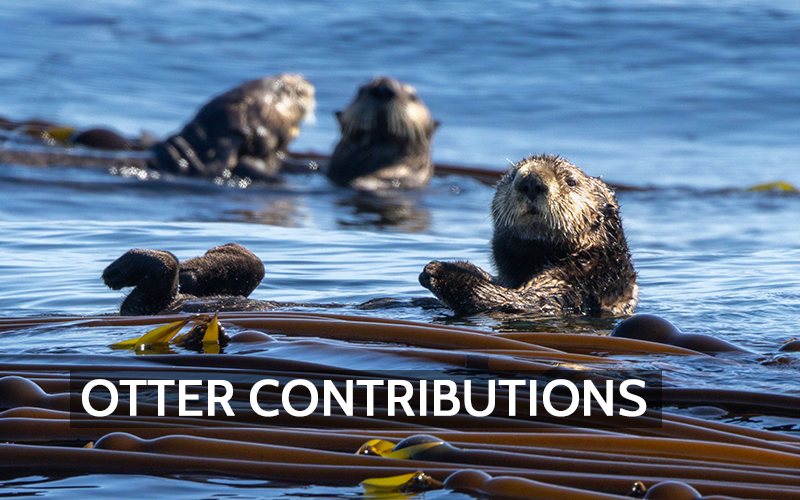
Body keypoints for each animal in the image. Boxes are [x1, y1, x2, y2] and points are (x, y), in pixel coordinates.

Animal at [419, 154, 638, 316]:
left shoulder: (575, 285)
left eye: (571, 181)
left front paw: (438, 270)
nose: (531, 181)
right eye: (512, 175)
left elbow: (520, 302)